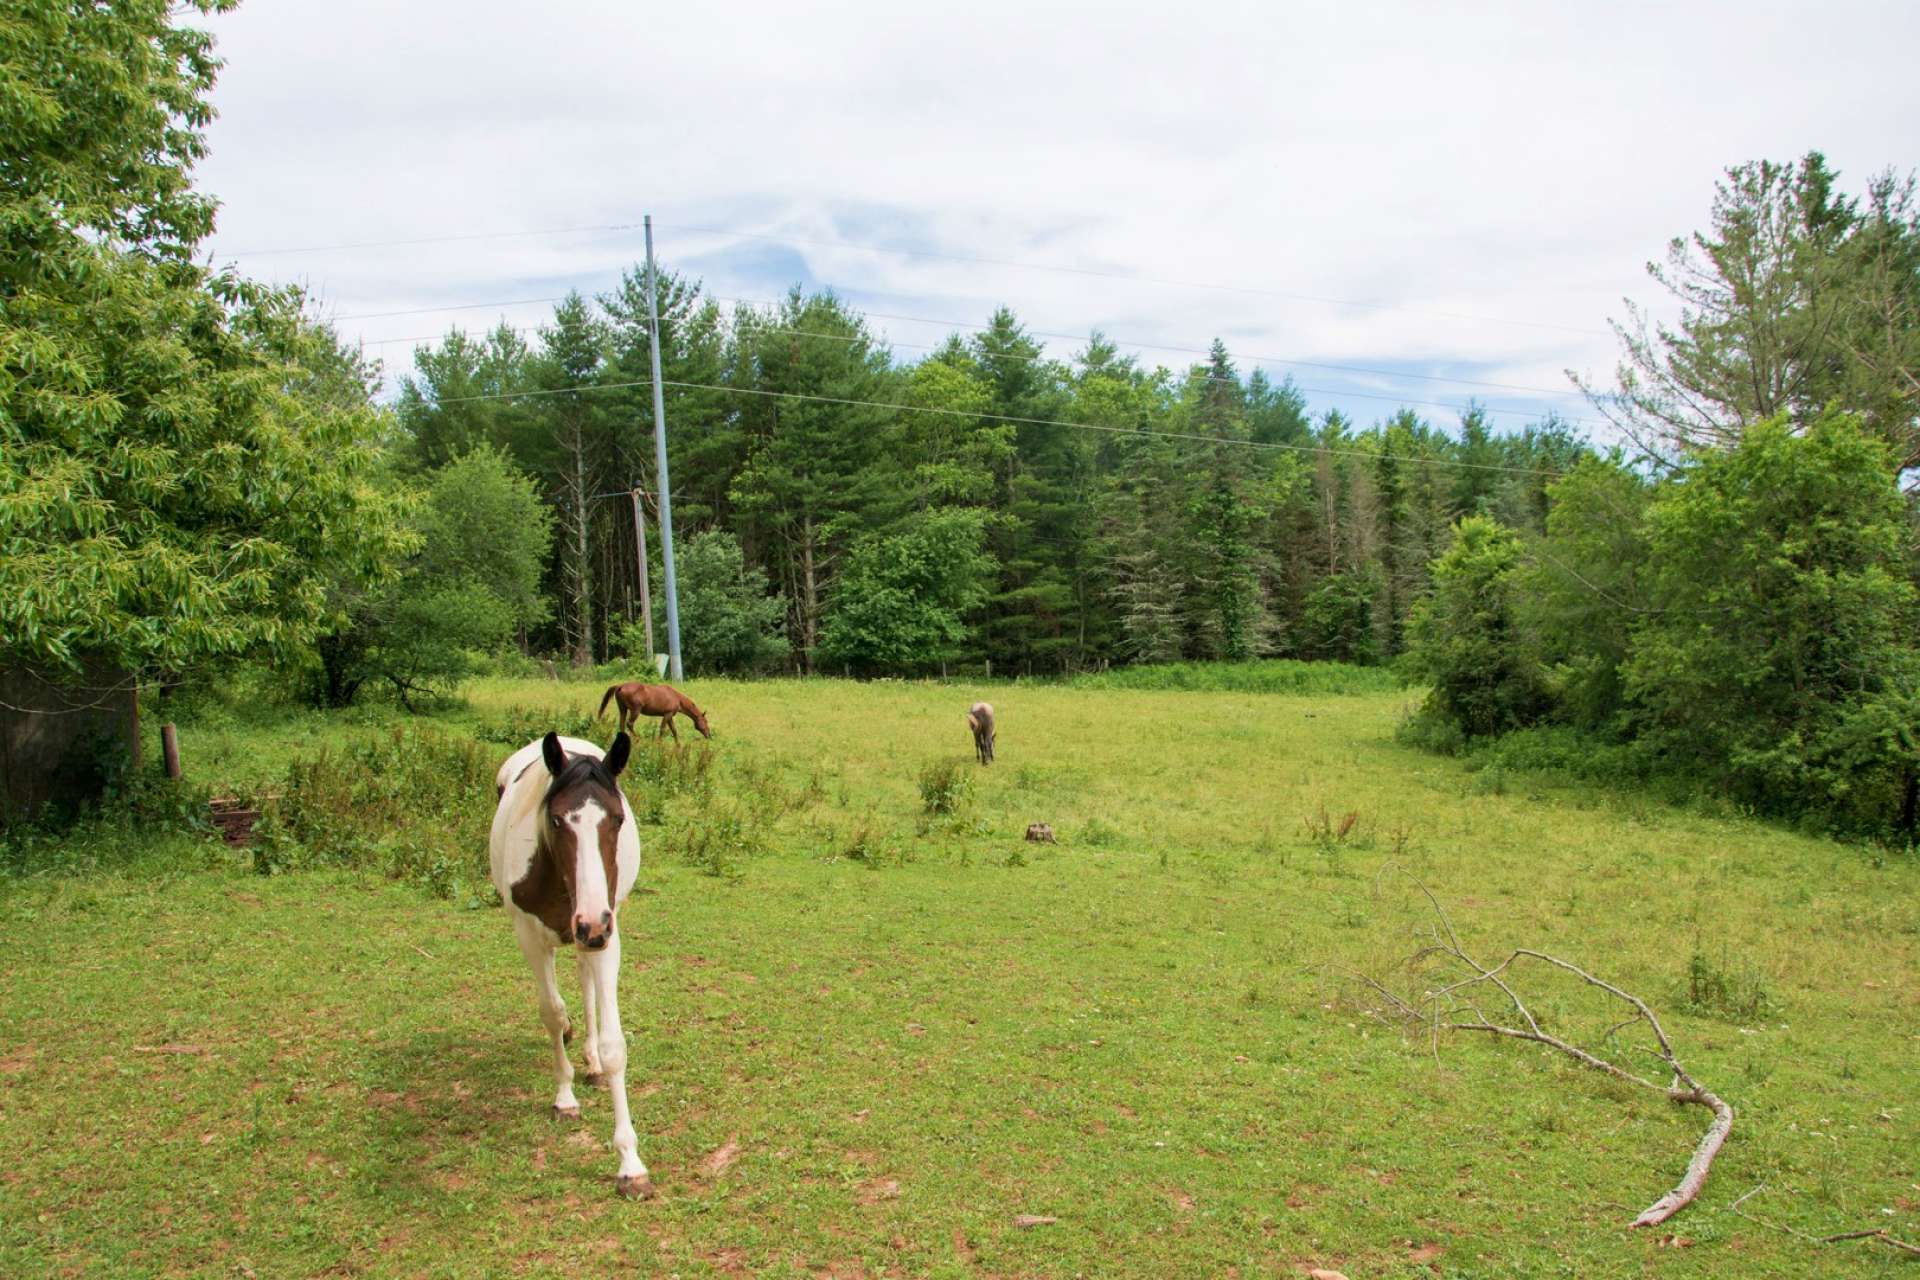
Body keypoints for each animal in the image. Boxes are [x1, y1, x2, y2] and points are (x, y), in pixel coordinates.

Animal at [487, 736, 652, 1197]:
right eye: (558, 820)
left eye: (617, 818)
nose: (591, 922)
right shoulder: (528, 934)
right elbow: (550, 1011)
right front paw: (564, 1096)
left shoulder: (607, 932)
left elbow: (615, 1044)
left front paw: (630, 1164)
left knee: (585, 981)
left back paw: (591, 1062)